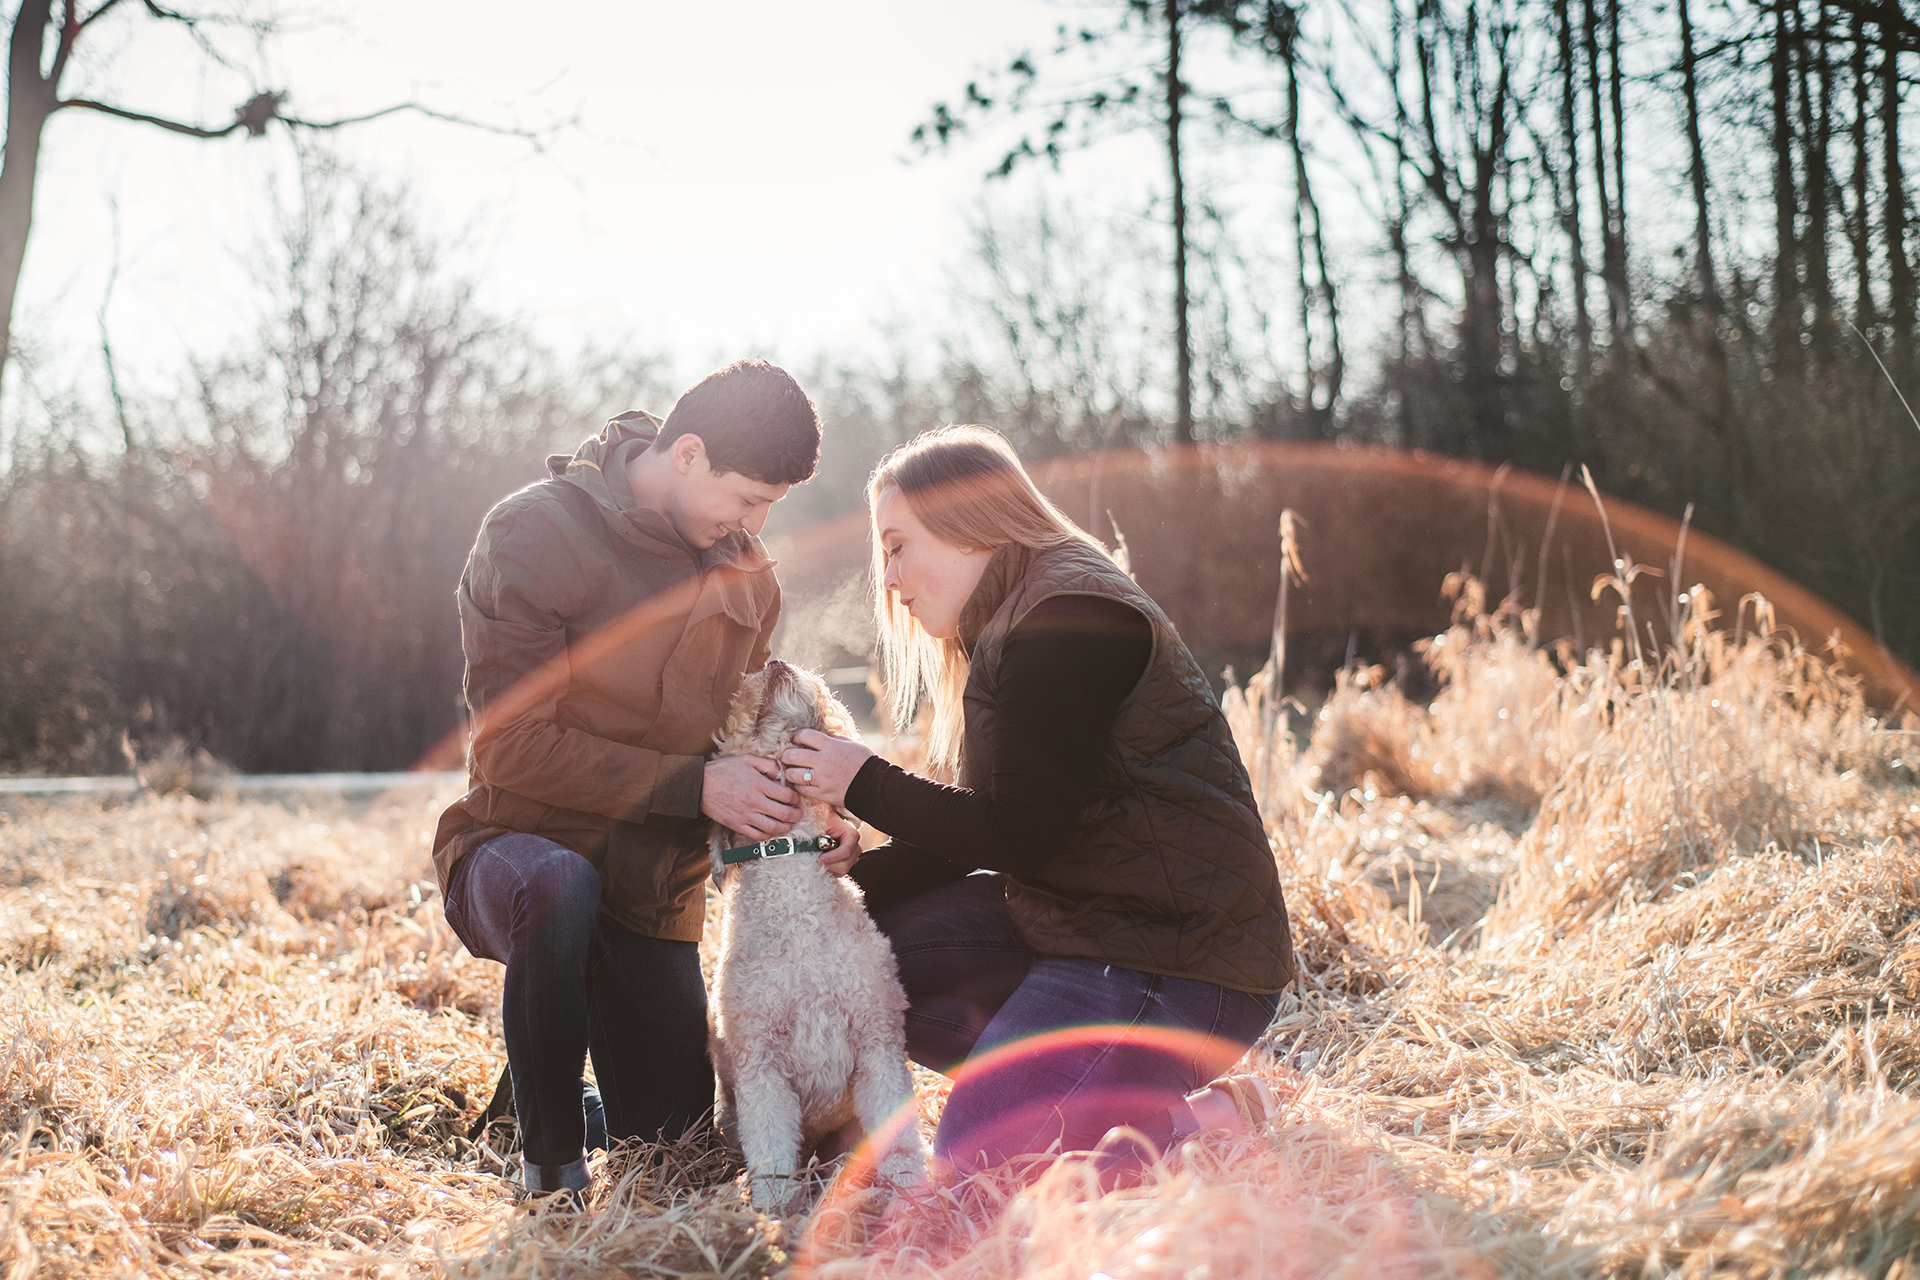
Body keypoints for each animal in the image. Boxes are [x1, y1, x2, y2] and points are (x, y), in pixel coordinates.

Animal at [710, 667, 925, 1220]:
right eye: (738, 706)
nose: (775, 664)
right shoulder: (760, 1065)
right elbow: (771, 1154)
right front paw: (776, 1215)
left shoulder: (878, 1043)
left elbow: (899, 1143)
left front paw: (916, 1197)